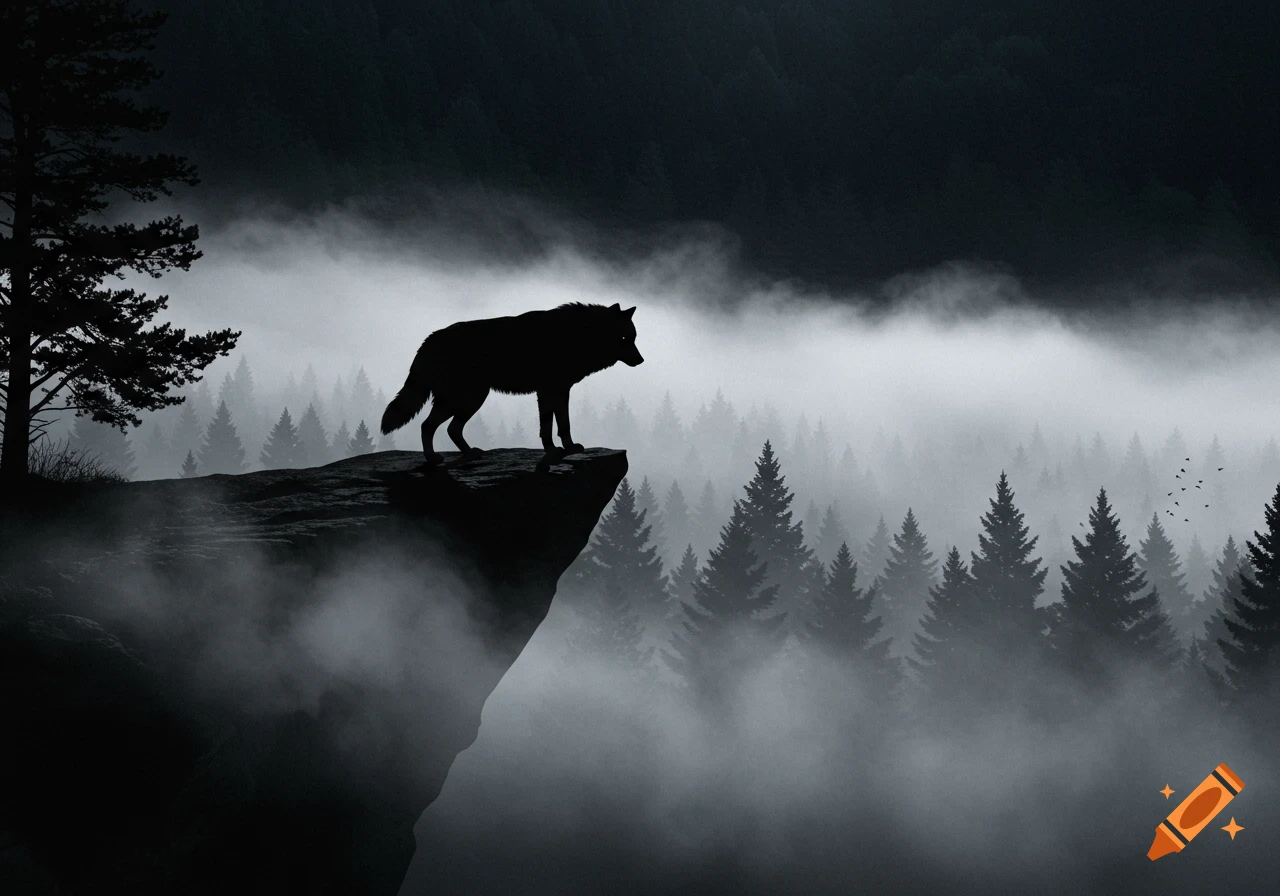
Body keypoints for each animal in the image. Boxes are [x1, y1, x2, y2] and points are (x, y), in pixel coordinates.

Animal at [380, 302, 644, 465]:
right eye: (624, 338)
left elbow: (564, 425)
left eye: (633, 338)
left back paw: (470, 453)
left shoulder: (561, 391)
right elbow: (547, 428)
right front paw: (552, 451)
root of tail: (430, 339)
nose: (641, 361)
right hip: (465, 400)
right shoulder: (546, 392)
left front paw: (569, 448)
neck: (579, 335)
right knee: (428, 426)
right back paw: (433, 459)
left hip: (472, 400)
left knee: (450, 429)